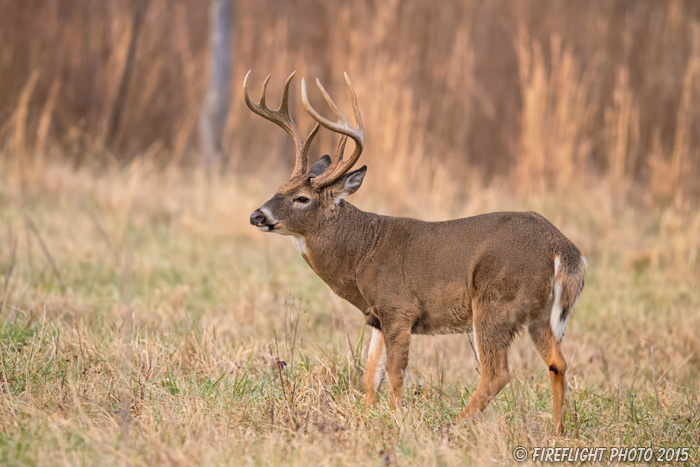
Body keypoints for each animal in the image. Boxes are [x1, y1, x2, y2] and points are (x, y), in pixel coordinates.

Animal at [245, 71, 584, 436]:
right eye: (279, 188)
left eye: (302, 198)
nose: (257, 215)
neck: (361, 254)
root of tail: (562, 247)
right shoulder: (377, 316)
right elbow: (370, 376)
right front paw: (368, 417)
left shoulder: (399, 308)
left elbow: (395, 374)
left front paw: (395, 420)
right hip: (539, 313)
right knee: (557, 362)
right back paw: (557, 431)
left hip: (495, 301)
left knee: (497, 373)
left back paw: (453, 426)